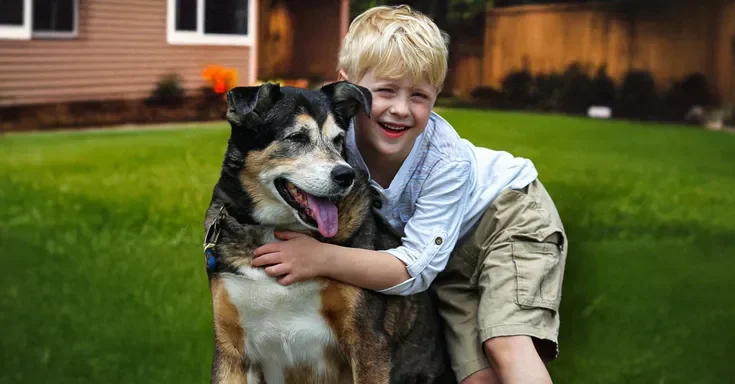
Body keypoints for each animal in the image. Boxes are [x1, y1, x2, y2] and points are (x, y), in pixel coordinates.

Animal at [201, 82, 454, 384]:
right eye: (297, 137)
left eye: (338, 139)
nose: (345, 176)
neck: (276, 230)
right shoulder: (231, 349)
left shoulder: (368, 340)